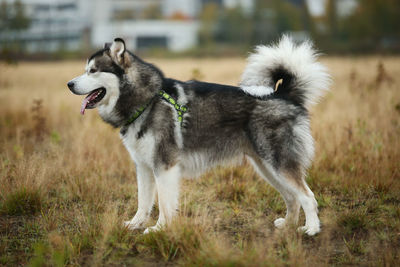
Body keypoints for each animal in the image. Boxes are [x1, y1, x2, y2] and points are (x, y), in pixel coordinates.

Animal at [68, 36, 332, 237]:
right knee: (292, 197)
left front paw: (159, 229)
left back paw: (311, 229)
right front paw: (135, 224)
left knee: (307, 196)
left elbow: (164, 204)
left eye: (93, 71)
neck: (147, 100)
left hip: (278, 163)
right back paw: (287, 225)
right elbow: (143, 202)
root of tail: (283, 94)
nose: (70, 84)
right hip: (266, 167)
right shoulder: (143, 166)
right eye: (85, 70)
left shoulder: (165, 166)